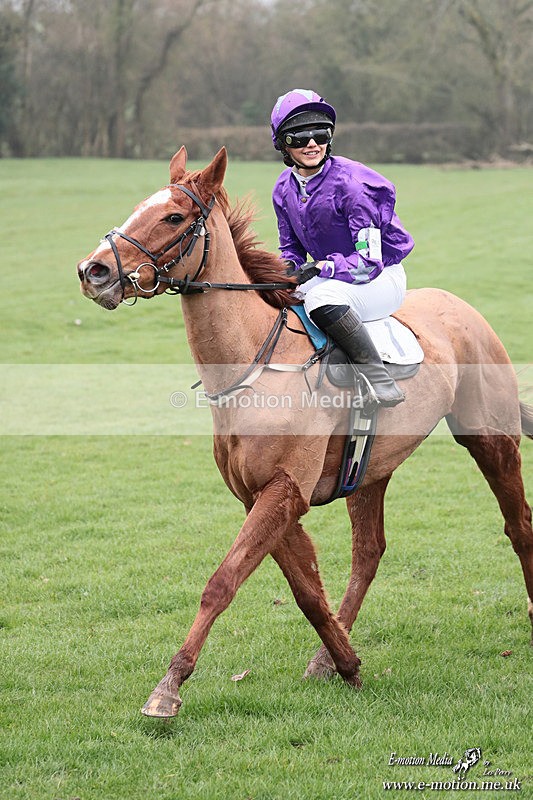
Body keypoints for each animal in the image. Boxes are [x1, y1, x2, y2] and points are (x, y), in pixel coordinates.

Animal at [77, 146, 533, 718]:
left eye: (174, 217)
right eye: (141, 206)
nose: (92, 271)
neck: (254, 367)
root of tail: (462, 307)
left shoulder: (284, 490)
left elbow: (222, 582)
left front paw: (169, 687)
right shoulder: (260, 495)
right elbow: (307, 591)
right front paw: (346, 663)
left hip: (489, 437)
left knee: (519, 525)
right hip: (369, 468)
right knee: (368, 553)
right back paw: (325, 658)